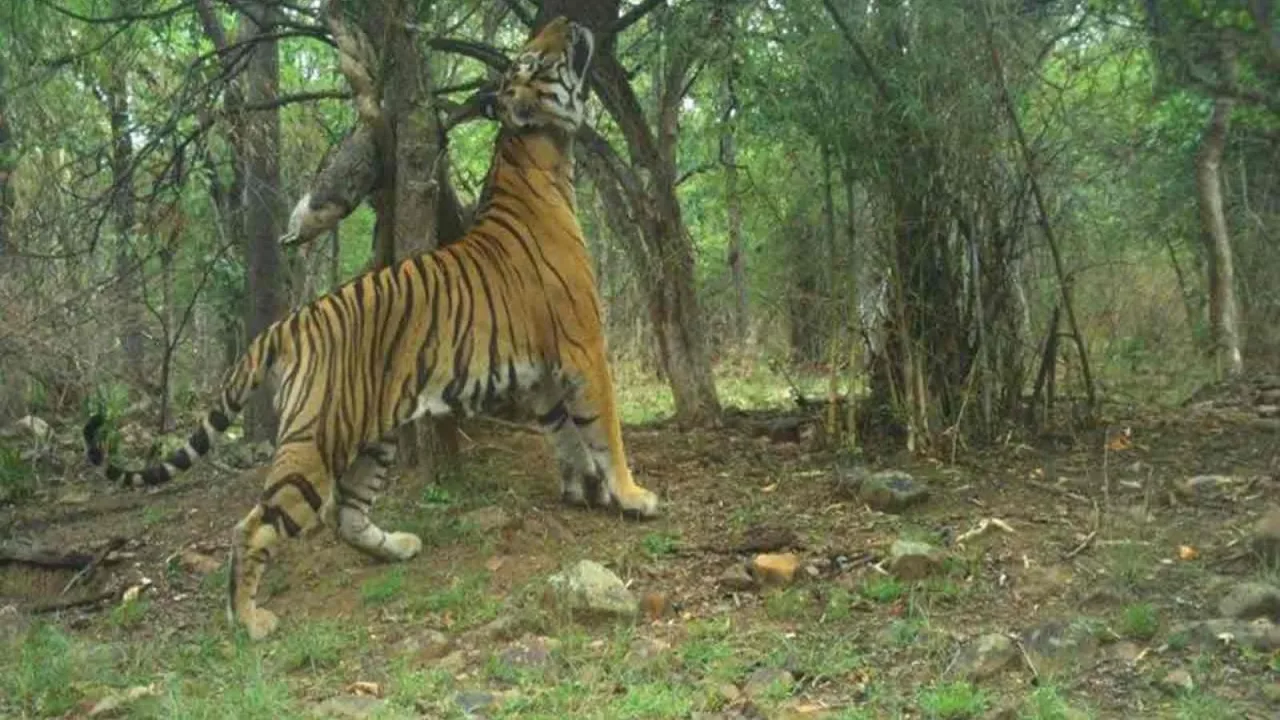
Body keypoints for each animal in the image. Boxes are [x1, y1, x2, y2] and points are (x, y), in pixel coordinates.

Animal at [82, 17, 659, 640]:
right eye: (530, 59)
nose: (566, 21)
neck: (540, 159)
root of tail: (288, 324)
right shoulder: (584, 347)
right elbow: (605, 430)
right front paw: (632, 495)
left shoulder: (543, 371)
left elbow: (564, 433)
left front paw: (585, 490)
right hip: (317, 440)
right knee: (256, 524)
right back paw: (250, 619)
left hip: (373, 432)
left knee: (347, 515)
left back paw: (398, 547)